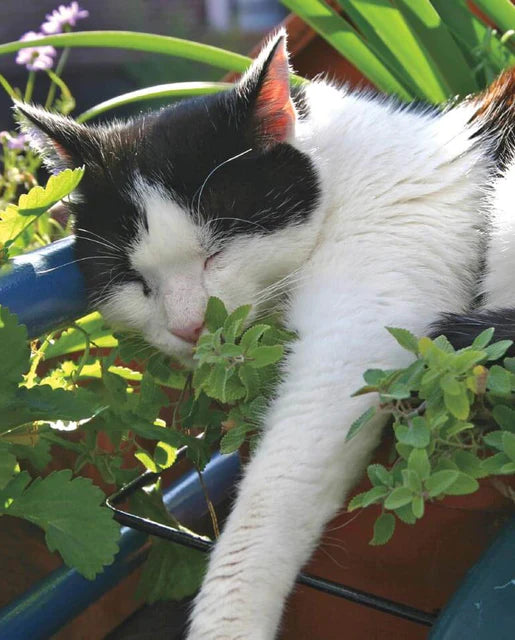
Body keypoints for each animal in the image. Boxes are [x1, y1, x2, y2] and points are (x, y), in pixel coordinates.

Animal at [17, 32, 515, 640]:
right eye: (134, 281)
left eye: (218, 250)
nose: (189, 326)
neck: (341, 171)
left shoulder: (363, 322)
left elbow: (274, 491)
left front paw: (227, 622)